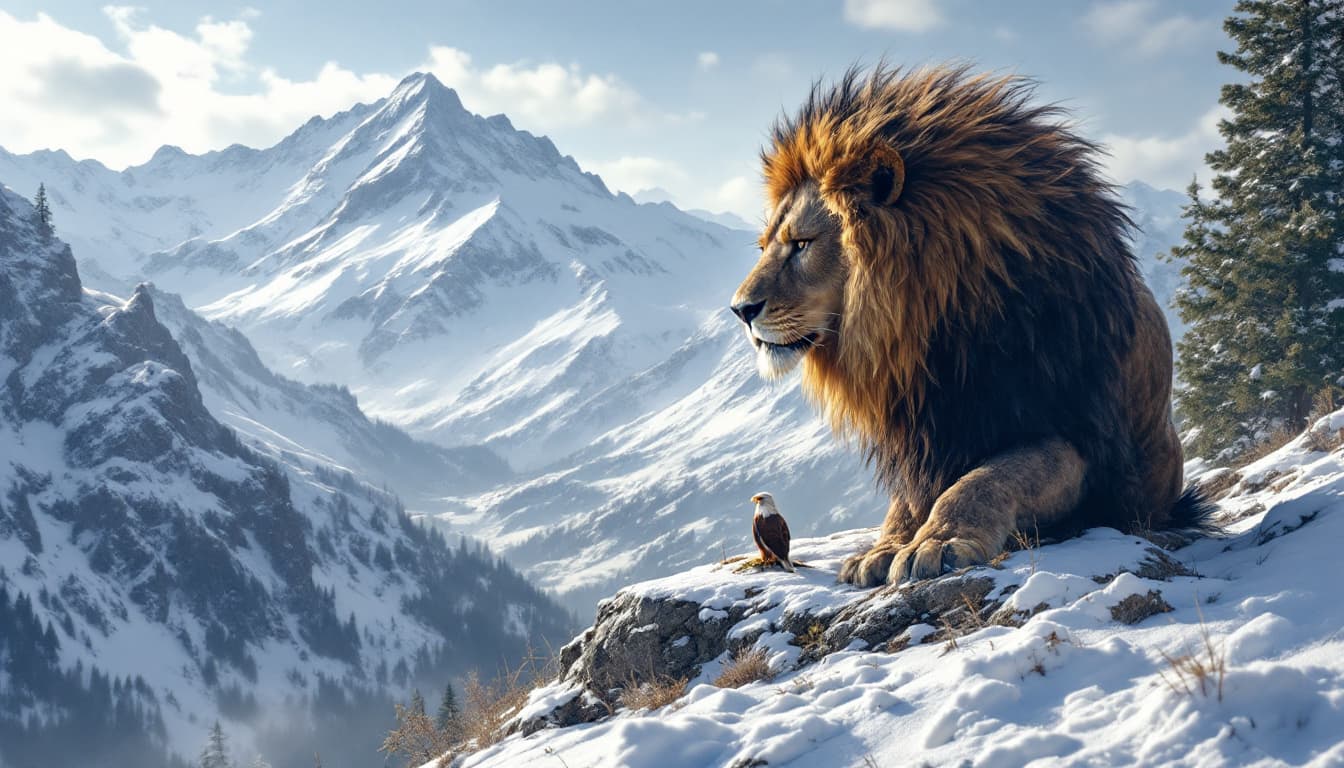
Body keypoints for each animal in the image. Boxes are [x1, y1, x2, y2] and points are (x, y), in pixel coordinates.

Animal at [730, 65, 1208, 587]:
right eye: (763, 247)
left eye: (801, 243)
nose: (740, 310)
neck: (934, 336)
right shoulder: (925, 437)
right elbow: (909, 501)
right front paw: (884, 548)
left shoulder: (1076, 436)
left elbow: (983, 478)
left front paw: (936, 543)